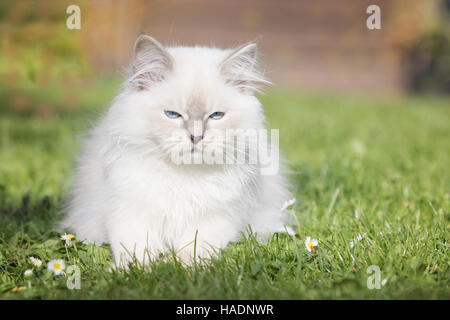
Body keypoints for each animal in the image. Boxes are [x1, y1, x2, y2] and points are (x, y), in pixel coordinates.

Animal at [60, 33, 296, 266]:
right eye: (173, 114)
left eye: (216, 116)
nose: (196, 137)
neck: (184, 175)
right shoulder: (131, 212)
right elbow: (137, 253)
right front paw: (139, 271)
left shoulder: (214, 219)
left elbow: (191, 253)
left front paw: (177, 268)